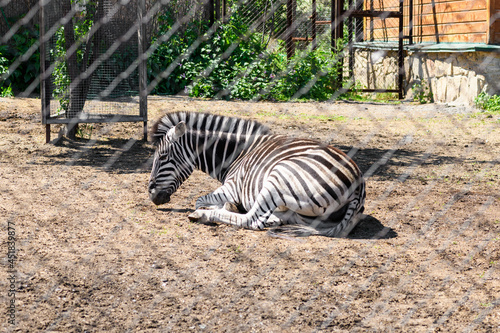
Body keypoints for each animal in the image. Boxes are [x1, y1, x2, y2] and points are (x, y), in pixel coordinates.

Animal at [146, 111, 366, 236]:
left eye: (163, 157)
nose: (151, 194)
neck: (236, 154)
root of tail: (358, 181)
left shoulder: (232, 187)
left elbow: (200, 200)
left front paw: (211, 208)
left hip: (279, 176)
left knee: (252, 220)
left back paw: (204, 215)